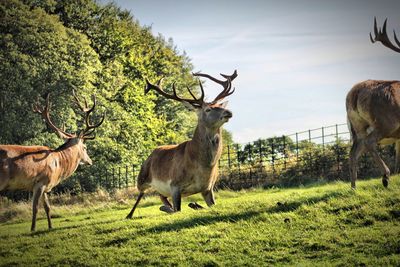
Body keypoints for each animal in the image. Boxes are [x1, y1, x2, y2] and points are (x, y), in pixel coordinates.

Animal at [0, 91, 104, 230]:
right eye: (85, 147)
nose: (90, 161)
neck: (58, 165)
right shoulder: (40, 182)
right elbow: (35, 208)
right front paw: (32, 229)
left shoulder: (46, 185)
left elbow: (47, 207)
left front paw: (50, 227)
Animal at [126, 70, 236, 219]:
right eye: (208, 109)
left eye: (219, 106)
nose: (228, 112)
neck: (203, 167)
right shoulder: (174, 184)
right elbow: (178, 210)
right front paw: (187, 206)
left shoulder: (208, 188)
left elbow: (213, 205)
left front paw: (195, 205)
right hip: (142, 177)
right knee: (142, 193)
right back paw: (130, 214)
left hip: (160, 189)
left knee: (162, 197)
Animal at [346, 17, 398, 189]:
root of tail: (354, 94)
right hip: (385, 122)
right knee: (369, 143)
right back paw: (385, 176)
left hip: (358, 127)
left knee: (353, 153)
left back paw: (354, 187)